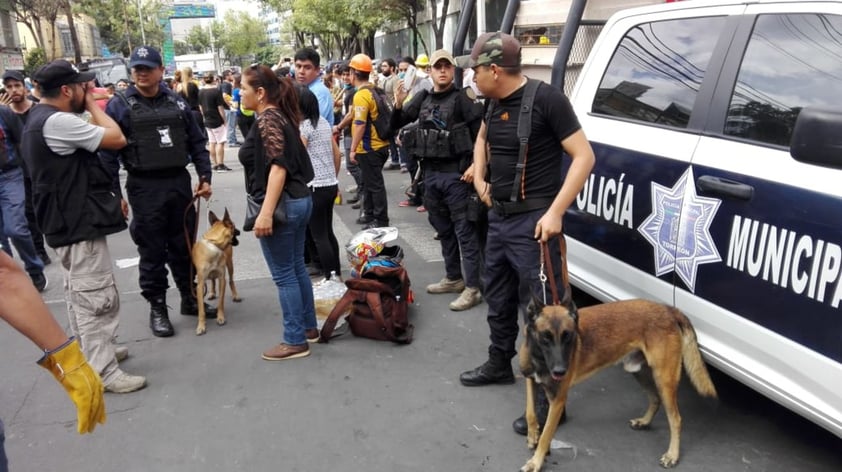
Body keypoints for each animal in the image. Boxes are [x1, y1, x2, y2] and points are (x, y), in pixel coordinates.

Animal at [516, 298, 720, 472]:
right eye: (546, 337)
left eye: (568, 337)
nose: (560, 371)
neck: (539, 358)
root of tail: (669, 309)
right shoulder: (529, 379)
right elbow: (530, 411)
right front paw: (532, 434)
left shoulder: (558, 401)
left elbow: (546, 435)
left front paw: (535, 461)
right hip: (637, 371)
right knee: (655, 398)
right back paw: (644, 421)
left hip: (664, 379)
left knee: (676, 419)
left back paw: (672, 455)